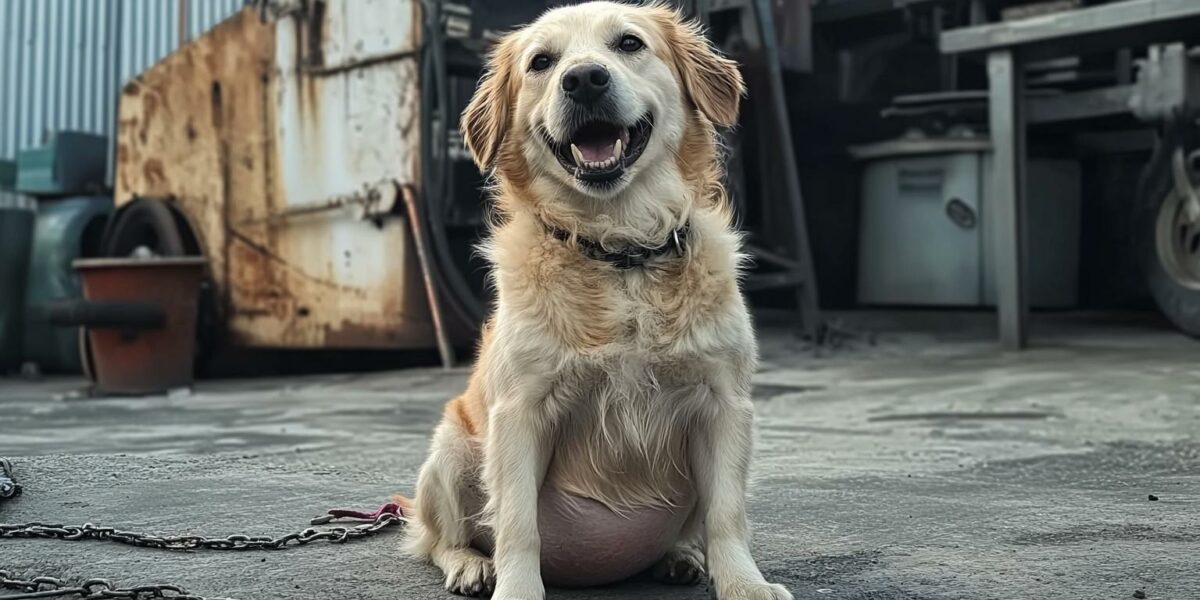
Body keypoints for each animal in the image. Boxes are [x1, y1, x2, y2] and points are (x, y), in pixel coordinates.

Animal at [408, 2, 792, 597]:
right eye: (541, 62)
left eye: (629, 43)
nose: (585, 79)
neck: (620, 250)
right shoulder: (519, 412)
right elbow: (517, 523)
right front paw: (516, 588)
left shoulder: (724, 403)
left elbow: (727, 516)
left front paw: (744, 584)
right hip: (450, 453)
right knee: (440, 541)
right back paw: (470, 565)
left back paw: (680, 556)